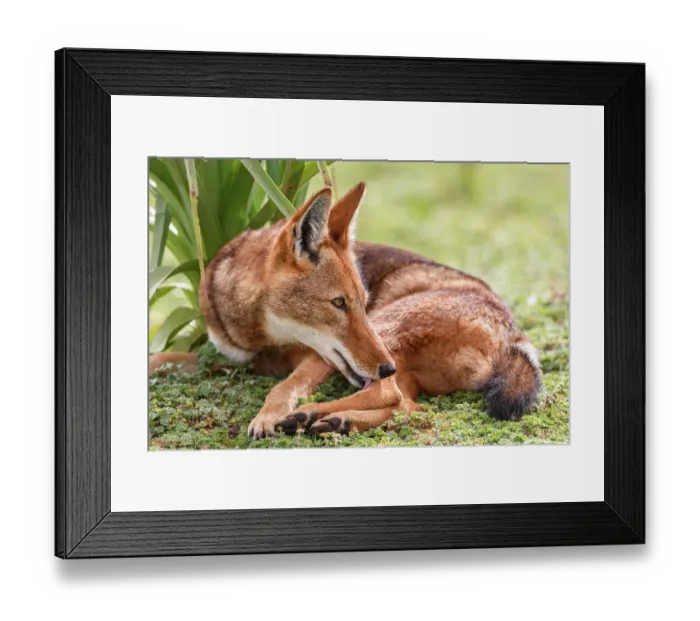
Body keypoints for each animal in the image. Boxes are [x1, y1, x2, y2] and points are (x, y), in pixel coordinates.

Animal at [149, 182, 542, 439]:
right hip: (397, 366)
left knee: (388, 393)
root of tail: (513, 331)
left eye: (361, 302)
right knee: (406, 405)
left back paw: (309, 416)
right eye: (339, 303)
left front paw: (268, 417)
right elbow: (160, 358)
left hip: (387, 334)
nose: (387, 366)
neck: (261, 338)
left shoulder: (318, 358)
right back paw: (335, 421)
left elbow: (282, 387)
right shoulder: (231, 359)